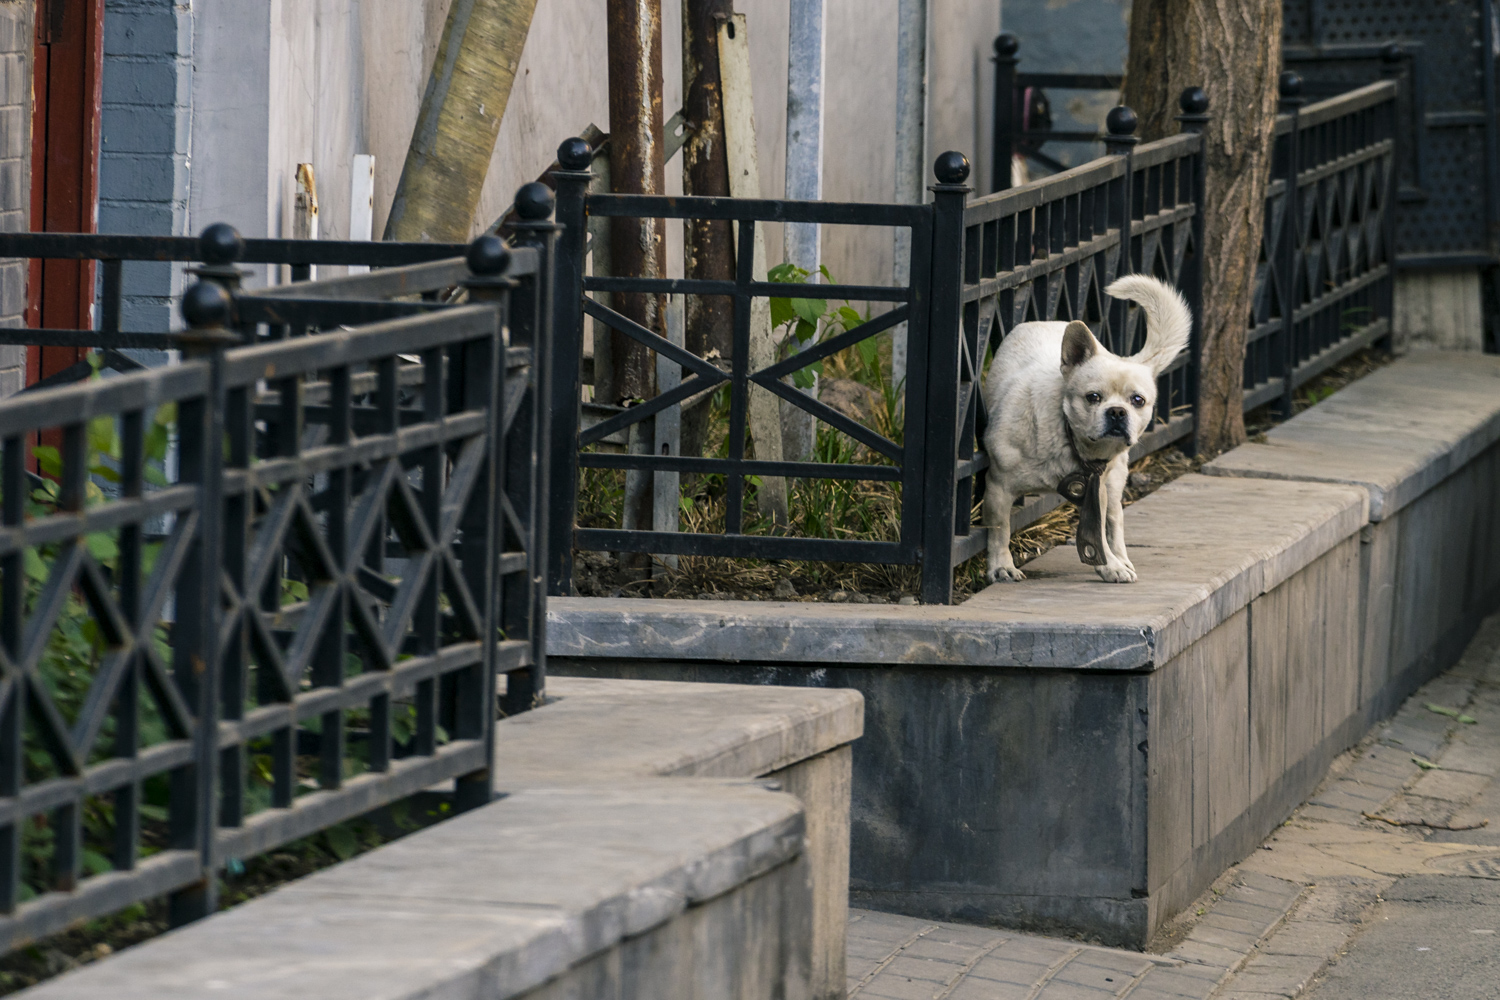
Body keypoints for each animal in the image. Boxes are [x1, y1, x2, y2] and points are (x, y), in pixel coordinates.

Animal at [980, 275, 1192, 584]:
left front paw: (1110, 566)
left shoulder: (1097, 491)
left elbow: (1098, 534)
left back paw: (1121, 559)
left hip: (1114, 482)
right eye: (1093, 397)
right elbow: (999, 530)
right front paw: (1001, 567)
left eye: (1137, 400)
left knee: (1115, 521)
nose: (1117, 412)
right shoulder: (999, 487)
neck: (1071, 440)